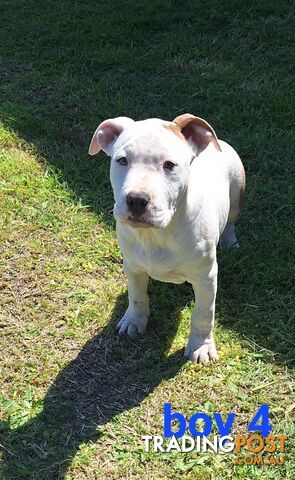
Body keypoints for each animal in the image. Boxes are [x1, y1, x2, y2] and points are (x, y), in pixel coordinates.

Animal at [89, 115, 246, 364]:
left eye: (170, 165)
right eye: (122, 160)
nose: (136, 199)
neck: (157, 234)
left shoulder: (206, 277)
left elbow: (203, 314)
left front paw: (201, 346)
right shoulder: (132, 266)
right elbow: (137, 296)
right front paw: (134, 321)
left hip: (237, 194)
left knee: (231, 220)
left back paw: (231, 242)